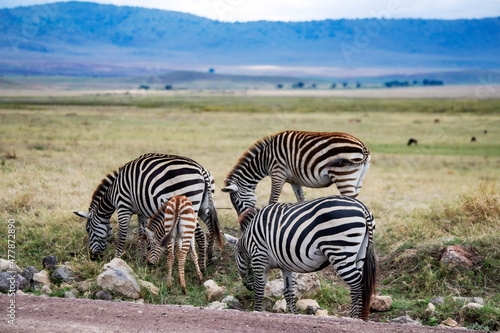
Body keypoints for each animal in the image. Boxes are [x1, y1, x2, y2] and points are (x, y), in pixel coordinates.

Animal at [74, 152, 223, 266]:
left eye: (88, 230)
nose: (93, 257)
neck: (113, 193)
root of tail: (201, 170)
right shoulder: (141, 211)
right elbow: (142, 232)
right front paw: (142, 257)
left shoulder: (123, 206)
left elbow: (122, 235)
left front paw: (116, 260)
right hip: (204, 206)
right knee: (211, 228)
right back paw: (209, 257)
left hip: (189, 204)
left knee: (200, 234)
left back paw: (201, 266)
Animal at [221, 130, 370, 215]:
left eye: (237, 203)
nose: (242, 223)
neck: (265, 159)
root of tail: (362, 146)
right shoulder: (294, 180)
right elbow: (300, 200)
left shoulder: (278, 173)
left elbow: (272, 200)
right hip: (357, 179)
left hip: (343, 175)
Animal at [225, 195, 376, 320]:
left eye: (236, 258)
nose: (247, 286)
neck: (247, 241)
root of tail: (363, 208)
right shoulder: (285, 265)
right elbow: (289, 293)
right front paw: (293, 314)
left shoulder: (259, 257)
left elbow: (259, 289)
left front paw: (256, 311)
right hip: (359, 253)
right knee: (358, 284)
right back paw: (358, 317)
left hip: (340, 251)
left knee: (356, 283)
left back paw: (353, 318)